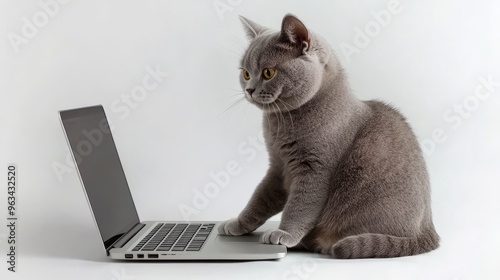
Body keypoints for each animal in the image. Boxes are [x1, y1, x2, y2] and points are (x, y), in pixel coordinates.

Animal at [221, 13, 440, 258]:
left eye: (268, 72)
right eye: (245, 73)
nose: (248, 89)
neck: (280, 126)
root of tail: (429, 229)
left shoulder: (315, 169)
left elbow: (299, 206)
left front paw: (284, 234)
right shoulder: (278, 167)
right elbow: (260, 198)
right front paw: (237, 224)